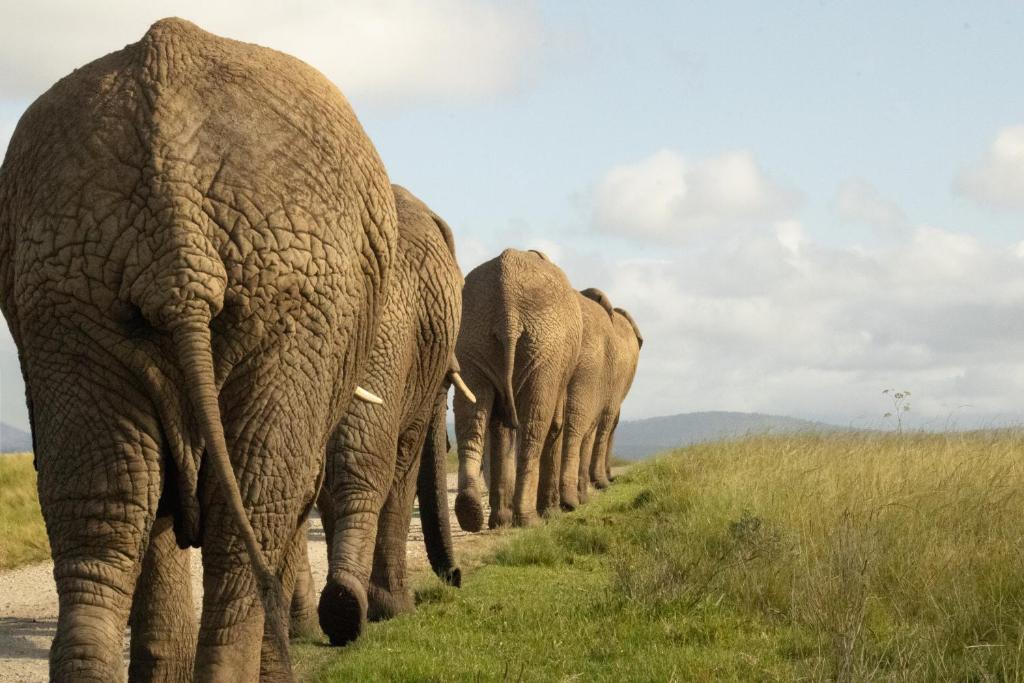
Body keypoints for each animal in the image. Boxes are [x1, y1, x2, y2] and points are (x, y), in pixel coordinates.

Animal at [287, 185, 471, 646]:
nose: (457, 577)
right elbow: (402, 466)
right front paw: (395, 609)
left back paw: (318, 618)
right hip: (385, 336)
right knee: (368, 461)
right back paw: (348, 612)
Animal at [453, 249, 582, 530]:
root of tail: (508, 311)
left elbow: (498, 426)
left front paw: (500, 521)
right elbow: (555, 425)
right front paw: (551, 514)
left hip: (472, 335)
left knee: (472, 415)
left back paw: (472, 513)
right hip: (544, 348)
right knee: (535, 426)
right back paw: (528, 520)